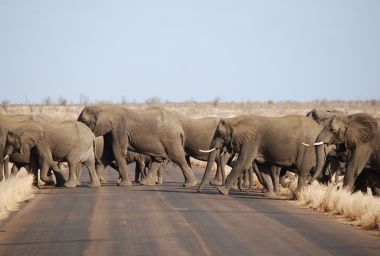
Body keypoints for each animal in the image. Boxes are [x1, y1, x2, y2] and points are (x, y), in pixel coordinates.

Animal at [197, 115, 326, 198]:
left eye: (219, 133)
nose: (198, 191)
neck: (235, 120)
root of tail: (318, 128)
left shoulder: (251, 141)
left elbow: (242, 163)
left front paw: (221, 191)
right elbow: (263, 169)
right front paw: (269, 195)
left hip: (308, 149)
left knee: (303, 172)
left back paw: (296, 196)